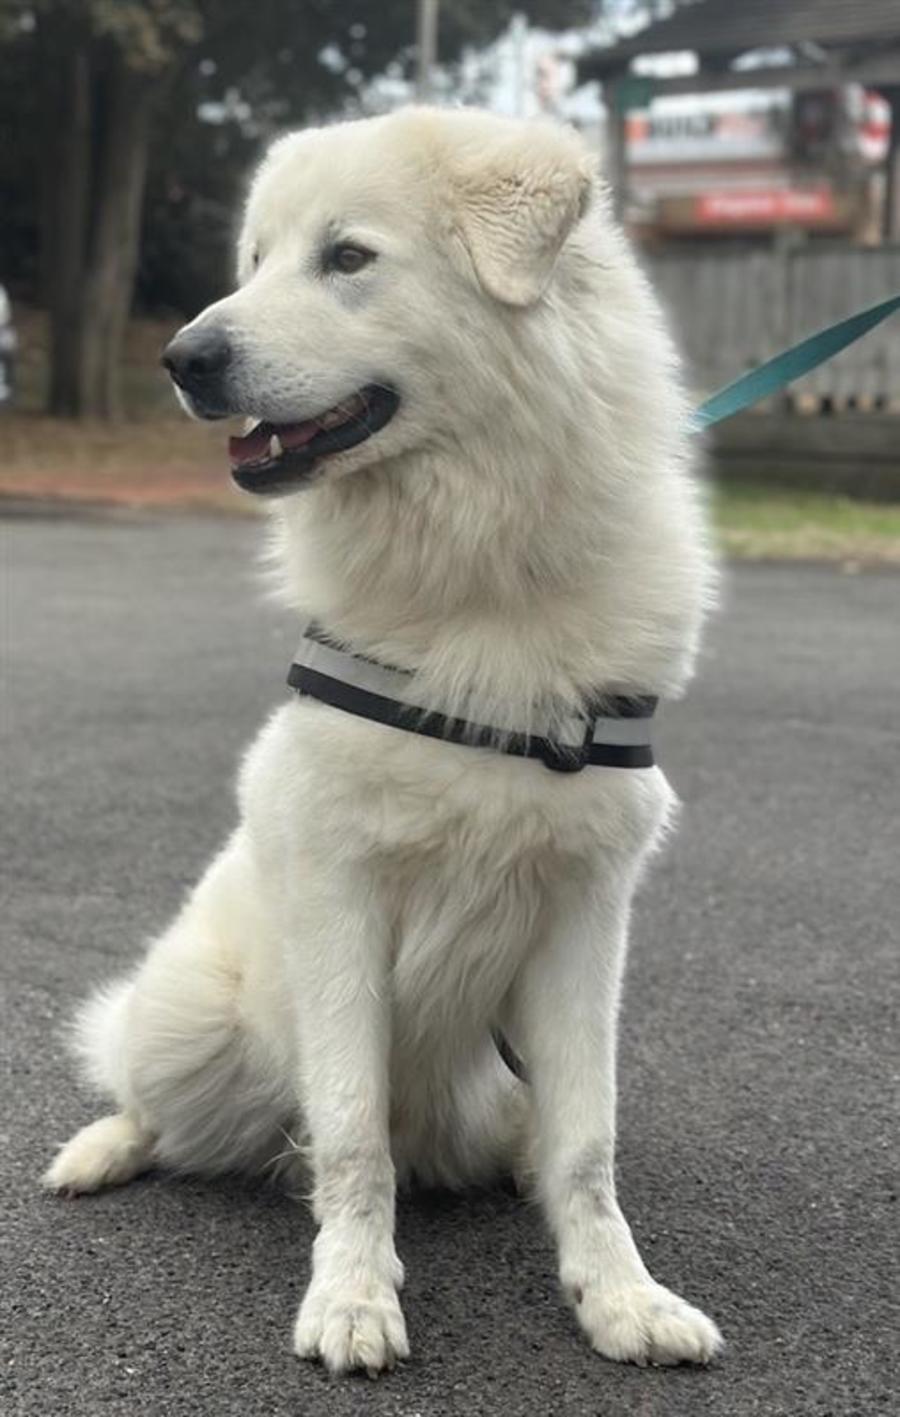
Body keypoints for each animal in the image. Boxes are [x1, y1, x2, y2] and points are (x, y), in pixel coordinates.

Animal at [44, 107, 721, 1374]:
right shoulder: (342, 896)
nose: (183, 360)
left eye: (346, 257)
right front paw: (353, 1300)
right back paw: (102, 1150)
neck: (477, 572)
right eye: (254, 262)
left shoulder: (584, 918)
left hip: (490, 1086)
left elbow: (586, 1147)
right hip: (190, 1027)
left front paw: (620, 1296)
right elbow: (353, 1139)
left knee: (511, 1138)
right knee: (167, 1104)